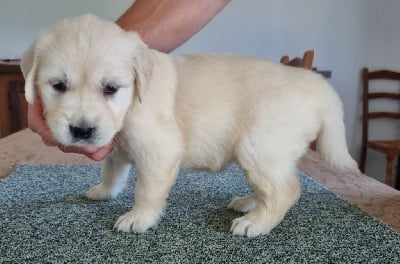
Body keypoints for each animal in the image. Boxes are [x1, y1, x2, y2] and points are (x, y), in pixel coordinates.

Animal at [20, 14, 358, 237]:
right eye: (58, 85)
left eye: (111, 89)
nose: (82, 131)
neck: (133, 102)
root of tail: (316, 83)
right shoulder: (116, 143)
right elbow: (111, 171)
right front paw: (103, 191)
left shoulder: (158, 152)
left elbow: (146, 190)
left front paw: (139, 218)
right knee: (272, 186)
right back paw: (248, 204)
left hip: (259, 147)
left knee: (286, 190)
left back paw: (256, 223)